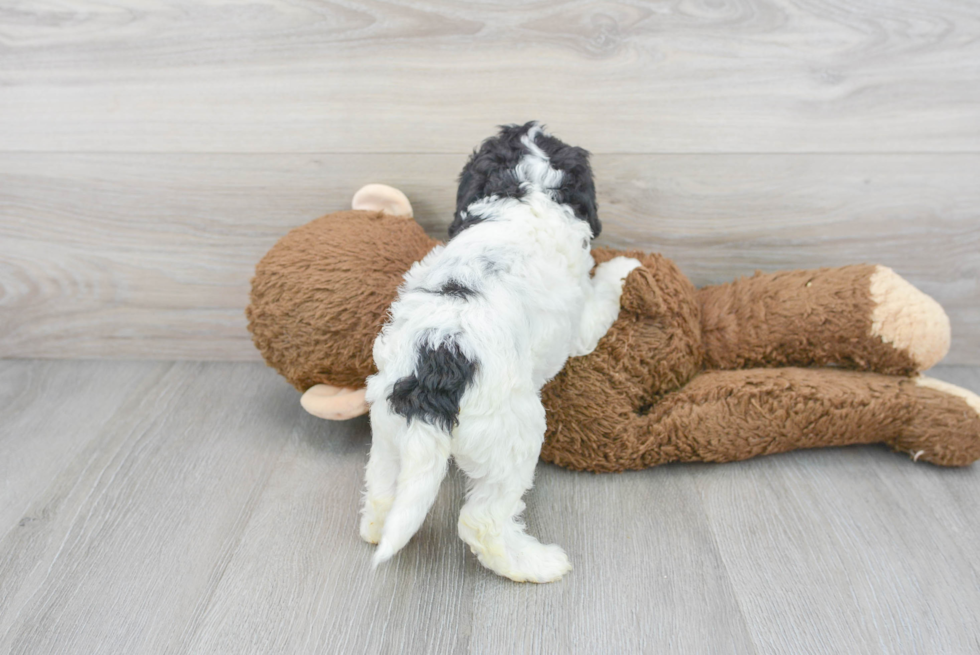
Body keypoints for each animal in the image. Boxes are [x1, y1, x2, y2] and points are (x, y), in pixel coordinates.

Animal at [364, 123, 640, 584]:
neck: (523, 195)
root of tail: (432, 372)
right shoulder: (579, 320)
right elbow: (602, 293)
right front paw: (625, 267)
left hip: (388, 426)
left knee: (385, 485)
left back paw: (375, 526)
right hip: (512, 433)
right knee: (482, 520)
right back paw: (535, 564)